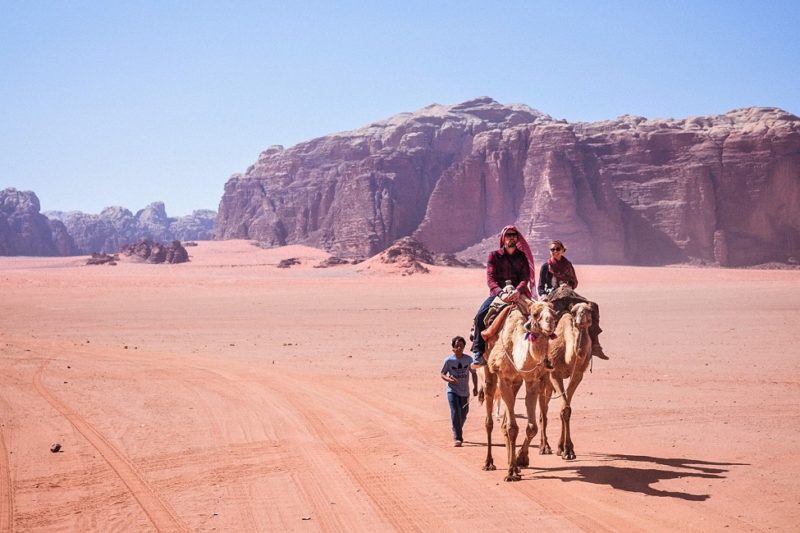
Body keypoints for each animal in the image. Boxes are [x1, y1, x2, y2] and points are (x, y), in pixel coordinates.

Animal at [478, 300, 560, 482]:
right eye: (535, 313)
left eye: (553, 312)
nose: (550, 322)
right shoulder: (504, 377)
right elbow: (512, 428)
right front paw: (510, 472)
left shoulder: (531, 380)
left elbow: (531, 427)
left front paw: (521, 459)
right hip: (489, 370)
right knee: (489, 419)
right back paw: (488, 463)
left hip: (516, 382)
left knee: (505, 422)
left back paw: (512, 462)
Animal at [536, 302, 592, 460]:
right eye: (573, 312)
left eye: (589, 310)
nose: (579, 320)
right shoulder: (555, 373)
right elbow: (564, 408)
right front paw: (566, 450)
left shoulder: (578, 374)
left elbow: (565, 408)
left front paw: (564, 449)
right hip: (542, 377)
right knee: (542, 411)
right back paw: (544, 447)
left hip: (548, 383)